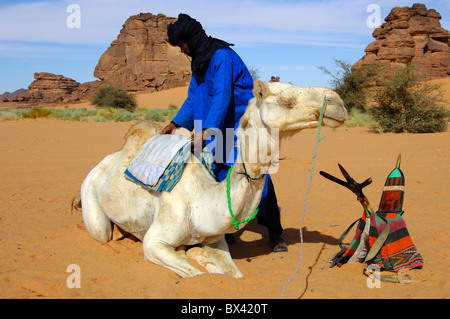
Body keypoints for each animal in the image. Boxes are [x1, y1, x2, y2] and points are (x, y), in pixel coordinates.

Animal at [72, 81, 346, 278]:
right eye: (286, 100)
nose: (338, 103)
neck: (200, 201)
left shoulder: (217, 241)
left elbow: (233, 275)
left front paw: (198, 254)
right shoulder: (154, 243)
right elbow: (197, 275)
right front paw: (193, 257)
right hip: (91, 199)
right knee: (102, 233)